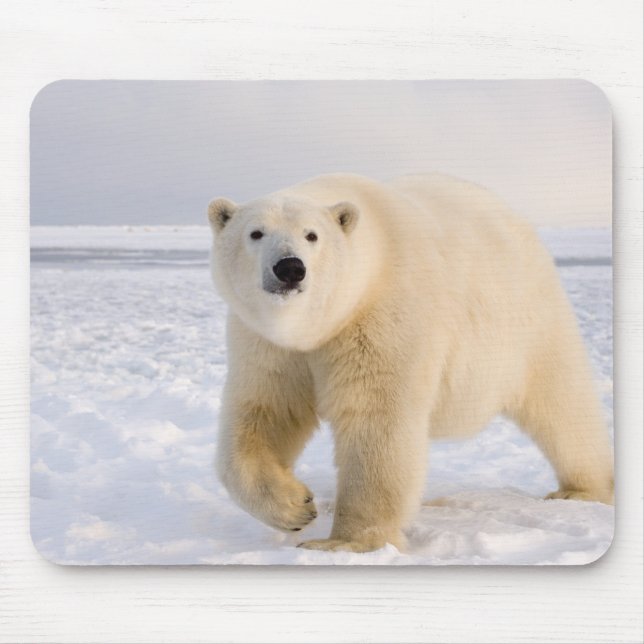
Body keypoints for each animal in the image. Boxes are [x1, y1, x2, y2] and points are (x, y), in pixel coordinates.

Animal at [207, 173, 614, 553]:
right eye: (256, 233)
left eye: (312, 235)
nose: (290, 268)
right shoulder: (267, 343)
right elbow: (266, 412)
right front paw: (296, 506)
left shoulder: (384, 316)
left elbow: (376, 419)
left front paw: (345, 542)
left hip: (528, 319)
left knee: (562, 403)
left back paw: (582, 489)